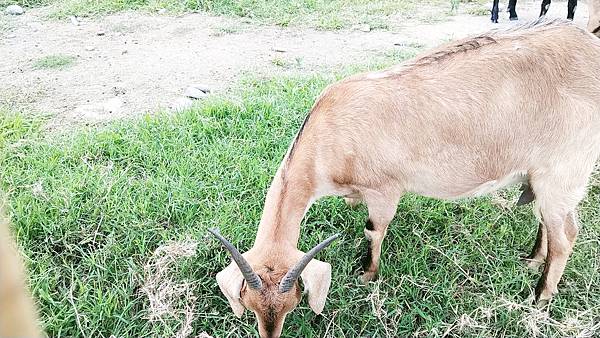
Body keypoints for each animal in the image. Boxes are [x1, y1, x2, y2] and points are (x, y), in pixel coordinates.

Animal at [210, 19, 600, 338]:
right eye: (248, 303)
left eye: (293, 301)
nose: (270, 333)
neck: (331, 130)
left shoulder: (384, 188)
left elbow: (374, 229)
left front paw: (367, 275)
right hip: (544, 178)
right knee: (549, 222)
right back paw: (532, 260)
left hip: (563, 171)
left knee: (566, 237)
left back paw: (541, 296)